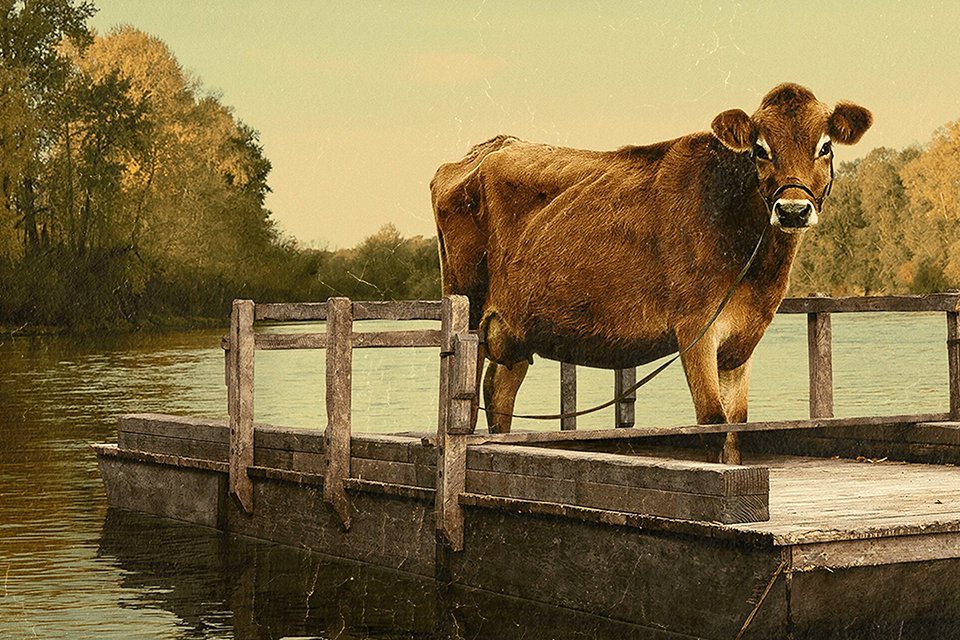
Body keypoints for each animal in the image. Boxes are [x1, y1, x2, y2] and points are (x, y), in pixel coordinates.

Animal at [430, 83, 871, 464]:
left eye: (825, 146)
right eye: (760, 149)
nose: (793, 210)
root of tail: (488, 148)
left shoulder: (742, 340)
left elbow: (736, 427)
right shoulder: (696, 328)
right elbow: (712, 422)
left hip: (516, 328)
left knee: (499, 392)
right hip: (469, 308)